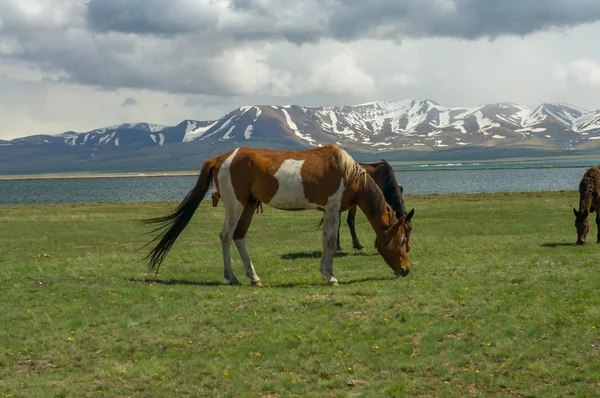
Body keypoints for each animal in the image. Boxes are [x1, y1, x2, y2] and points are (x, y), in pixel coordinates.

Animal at [145, 144, 414, 286]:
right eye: (401, 240)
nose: (406, 270)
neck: (348, 172)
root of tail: (222, 158)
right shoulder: (333, 208)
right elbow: (329, 241)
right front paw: (330, 276)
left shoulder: (331, 211)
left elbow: (326, 240)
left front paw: (324, 271)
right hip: (236, 204)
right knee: (226, 236)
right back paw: (231, 277)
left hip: (250, 205)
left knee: (239, 236)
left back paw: (253, 277)